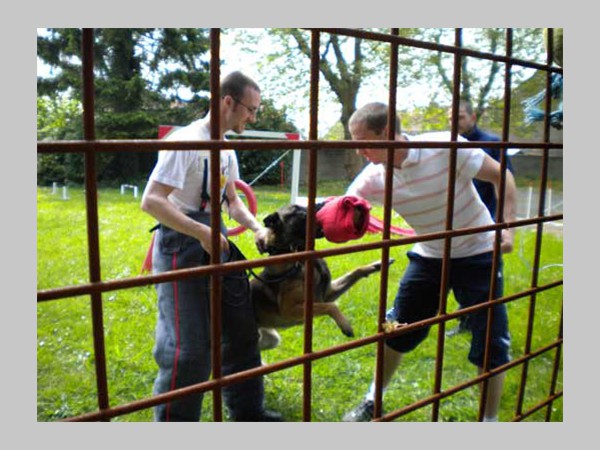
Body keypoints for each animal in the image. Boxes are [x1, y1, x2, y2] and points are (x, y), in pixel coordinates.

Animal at [251, 205, 392, 352]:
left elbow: (355, 271)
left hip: (270, 339)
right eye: (299, 212)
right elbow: (331, 306)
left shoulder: (326, 295)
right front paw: (345, 324)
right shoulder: (290, 310)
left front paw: (375, 266)